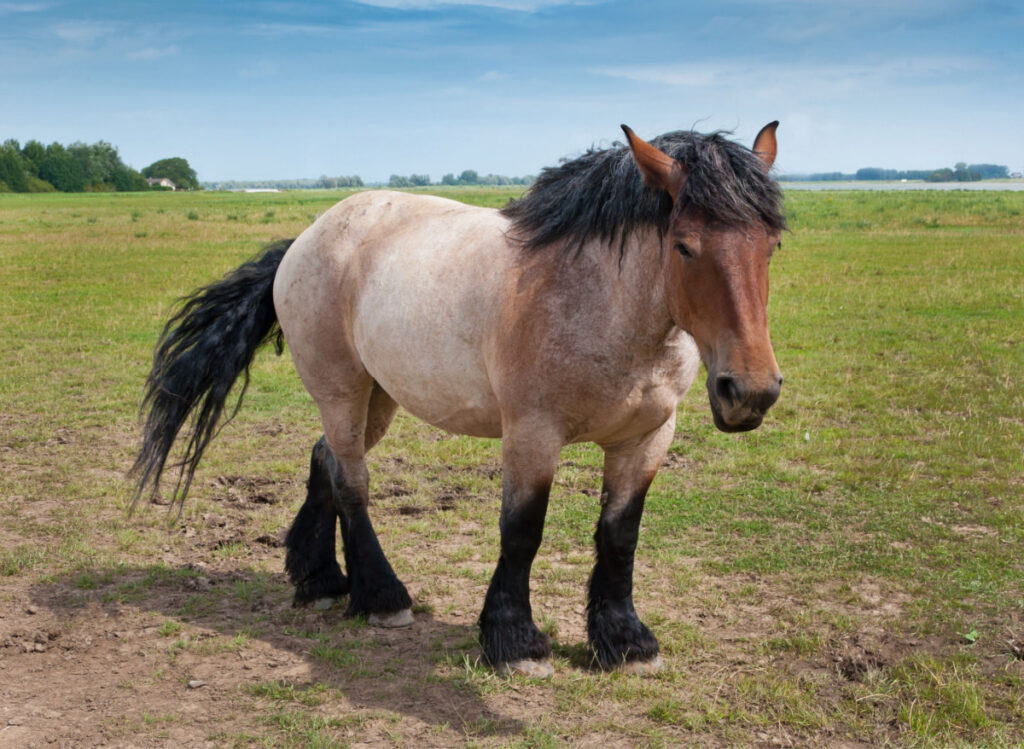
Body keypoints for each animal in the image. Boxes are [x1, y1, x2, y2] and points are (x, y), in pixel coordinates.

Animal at [134, 124, 782, 680]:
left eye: (772, 245)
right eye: (684, 247)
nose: (750, 392)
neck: (600, 303)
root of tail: (311, 235)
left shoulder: (646, 437)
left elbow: (620, 533)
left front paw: (625, 641)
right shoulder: (532, 434)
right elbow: (522, 531)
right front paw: (514, 642)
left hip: (377, 398)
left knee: (326, 461)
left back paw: (319, 582)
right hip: (341, 390)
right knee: (352, 482)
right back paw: (382, 598)